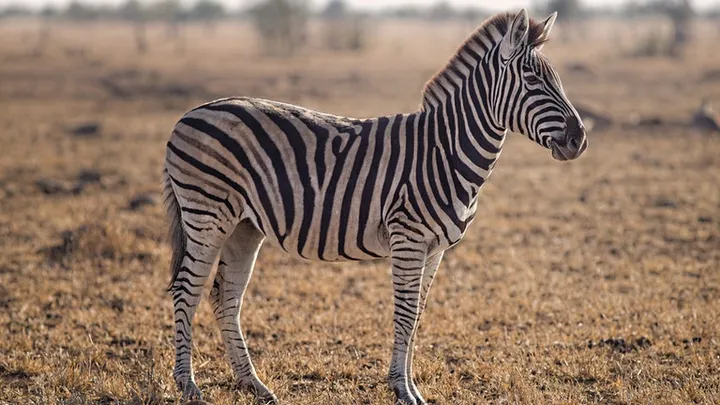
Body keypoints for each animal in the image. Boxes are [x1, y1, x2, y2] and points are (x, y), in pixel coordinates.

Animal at [163, 9, 587, 405]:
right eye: (532, 79)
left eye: (556, 79)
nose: (579, 140)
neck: (445, 151)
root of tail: (191, 113)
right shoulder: (409, 237)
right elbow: (405, 313)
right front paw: (402, 390)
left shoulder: (435, 249)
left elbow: (418, 315)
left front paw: (409, 386)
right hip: (207, 215)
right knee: (187, 290)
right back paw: (188, 385)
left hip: (244, 227)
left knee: (226, 296)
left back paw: (254, 385)